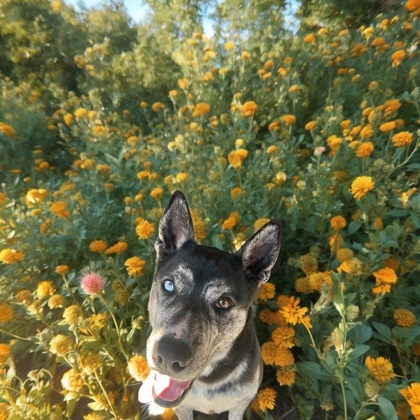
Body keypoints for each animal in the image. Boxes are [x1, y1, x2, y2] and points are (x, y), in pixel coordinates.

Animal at [140, 192, 282, 418]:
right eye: (169, 285)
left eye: (223, 302)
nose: (169, 356)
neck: (207, 380)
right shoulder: (182, 408)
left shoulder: (239, 405)